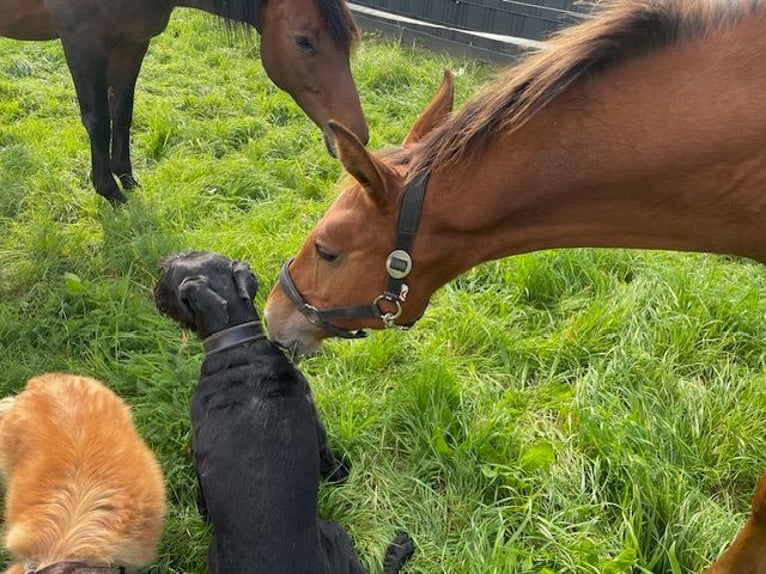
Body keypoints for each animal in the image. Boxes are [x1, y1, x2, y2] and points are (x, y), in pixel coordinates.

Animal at [0, 0, 368, 205]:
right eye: (304, 42)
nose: (355, 135)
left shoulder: (132, 42)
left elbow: (122, 112)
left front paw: (126, 178)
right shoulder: (83, 43)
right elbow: (98, 120)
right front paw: (108, 190)